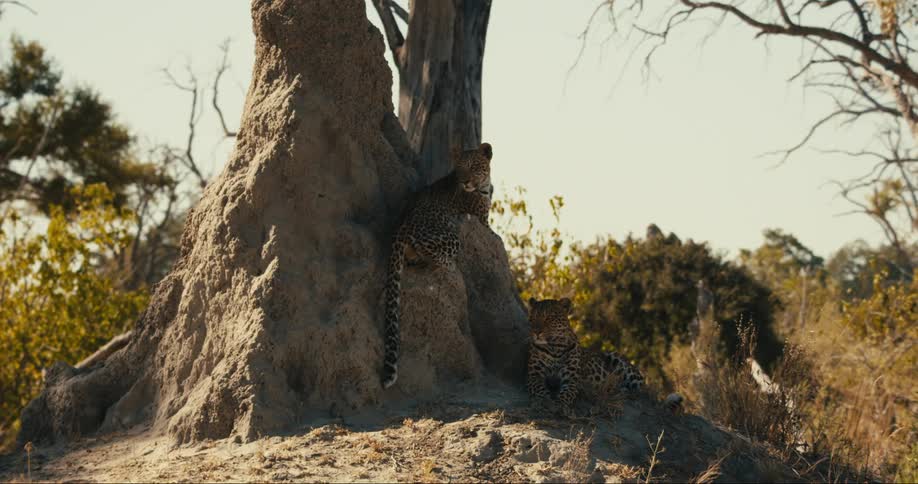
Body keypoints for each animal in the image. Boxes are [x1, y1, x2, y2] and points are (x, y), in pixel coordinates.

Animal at [381, 142, 494, 389]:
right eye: (460, 169)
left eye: (474, 167)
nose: (465, 182)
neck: (483, 185)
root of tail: (401, 227)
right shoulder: (482, 220)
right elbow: (493, 232)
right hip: (451, 237)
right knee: (435, 259)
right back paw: (450, 266)